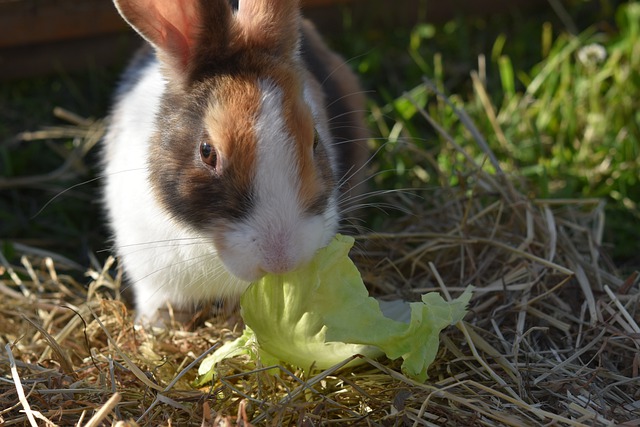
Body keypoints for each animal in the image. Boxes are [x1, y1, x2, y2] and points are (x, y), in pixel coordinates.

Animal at [102, 0, 368, 322]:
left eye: (315, 139)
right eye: (207, 151)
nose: (281, 261)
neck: (206, 245)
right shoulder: (152, 278)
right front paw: (153, 326)